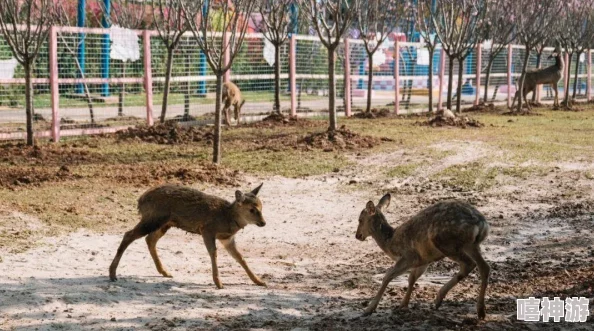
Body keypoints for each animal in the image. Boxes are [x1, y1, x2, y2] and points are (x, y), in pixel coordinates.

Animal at [108, 183, 266, 290]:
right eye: (252, 209)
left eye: (261, 206)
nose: (263, 223)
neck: (226, 218)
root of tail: (140, 200)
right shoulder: (207, 229)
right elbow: (213, 253)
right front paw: (219, 283)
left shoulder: (227, 238)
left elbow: (240, 257)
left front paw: (259, 281)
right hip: (154, 218)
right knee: (129, 235)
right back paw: (113, 274)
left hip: (165, 222)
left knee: (150, 239)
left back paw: (165, 271)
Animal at [354, 196, 488, 320]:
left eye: (360, 220)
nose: (357, 235)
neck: (391, 243)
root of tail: (481, 224)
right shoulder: (423, 260)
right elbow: (411, 278)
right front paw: (403, 305)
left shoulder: (409, 256)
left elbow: (388, 276)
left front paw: (369, 309)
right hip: (471, 245)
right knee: (484, 266)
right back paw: (480, 311)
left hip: (446, 242)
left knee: (469, 264)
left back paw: (439, 299)